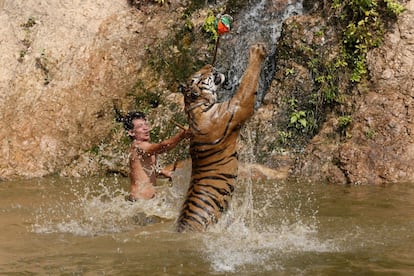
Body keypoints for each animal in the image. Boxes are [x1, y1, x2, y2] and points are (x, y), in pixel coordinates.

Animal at [175, 43, 266, 232]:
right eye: (200, 76)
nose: (209, 65)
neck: (196, 107)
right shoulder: (239, 105)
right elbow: (248, 82)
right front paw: (256, 51)